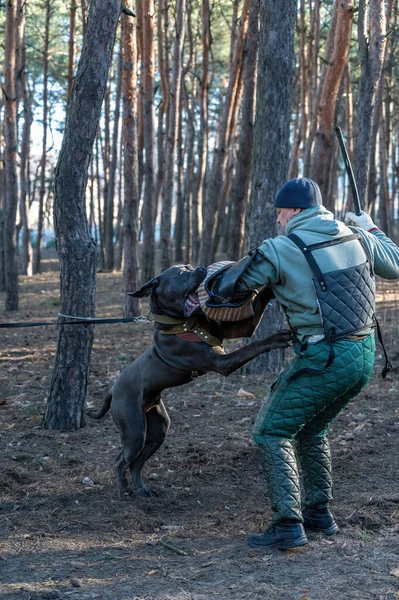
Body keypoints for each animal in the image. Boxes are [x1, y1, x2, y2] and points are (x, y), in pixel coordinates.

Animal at [89, 266, 292, 496]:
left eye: (188, 267)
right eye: (179, 274)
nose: (200, 268)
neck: (186, 323)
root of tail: (112, 390)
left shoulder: (234, 330)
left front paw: (272, 284)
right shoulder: (222, 363)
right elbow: (251, 347)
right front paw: (275, 338)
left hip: (157, 428)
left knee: (136, 463)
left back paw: (143, 490)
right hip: (134, 431)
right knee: (120, 460)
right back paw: (124, 488)